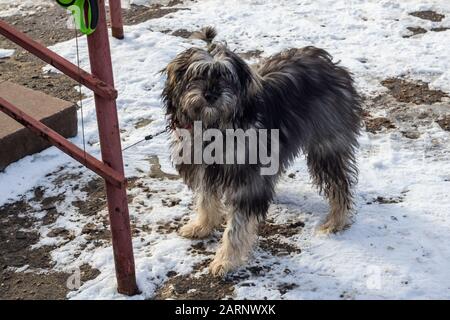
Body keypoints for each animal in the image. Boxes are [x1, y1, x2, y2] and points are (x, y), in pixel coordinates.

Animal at [162, 27, 362, 276]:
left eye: (225, 76)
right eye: (196, 75)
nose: (210, 95)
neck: (215, 126)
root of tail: (331, 65)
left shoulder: (245, 180)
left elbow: (236, 227)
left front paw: (226, 260)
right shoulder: (205, 169)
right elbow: (206, 200)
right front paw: (202, 226)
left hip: (327, 145)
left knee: (339, 185)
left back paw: (335, 221)